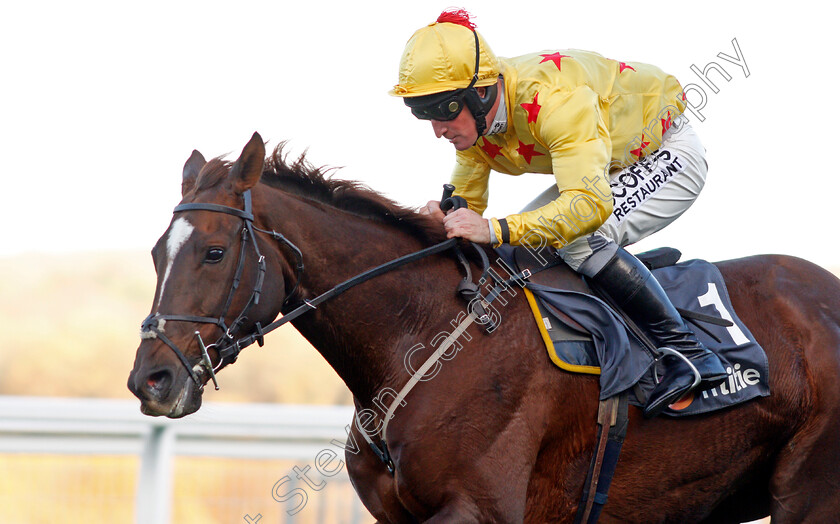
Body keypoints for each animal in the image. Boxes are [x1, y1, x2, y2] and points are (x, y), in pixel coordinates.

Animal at [126, 133, 840, 520]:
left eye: (214, 251)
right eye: (157, 252)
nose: (149, 380)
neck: (420, 335)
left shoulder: (481, 506)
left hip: (807, 494)